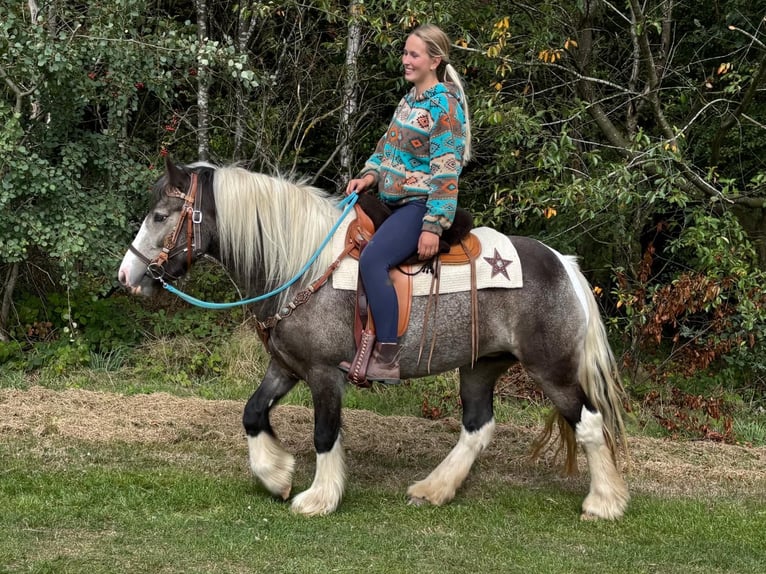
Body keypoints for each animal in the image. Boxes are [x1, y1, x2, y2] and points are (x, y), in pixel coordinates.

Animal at [118, 159, 630, 519]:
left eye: (160, 215)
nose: (127, 275)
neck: (301, 262)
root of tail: (562, 263)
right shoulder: (286, 366)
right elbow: (252, 413)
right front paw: (277, 476)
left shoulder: (324, 373)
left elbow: (325, 433)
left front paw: (318, 498)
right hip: (481, 366)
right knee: (477, 427)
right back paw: (434, 489)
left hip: (552, 370)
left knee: (589, 422)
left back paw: (604, 502)